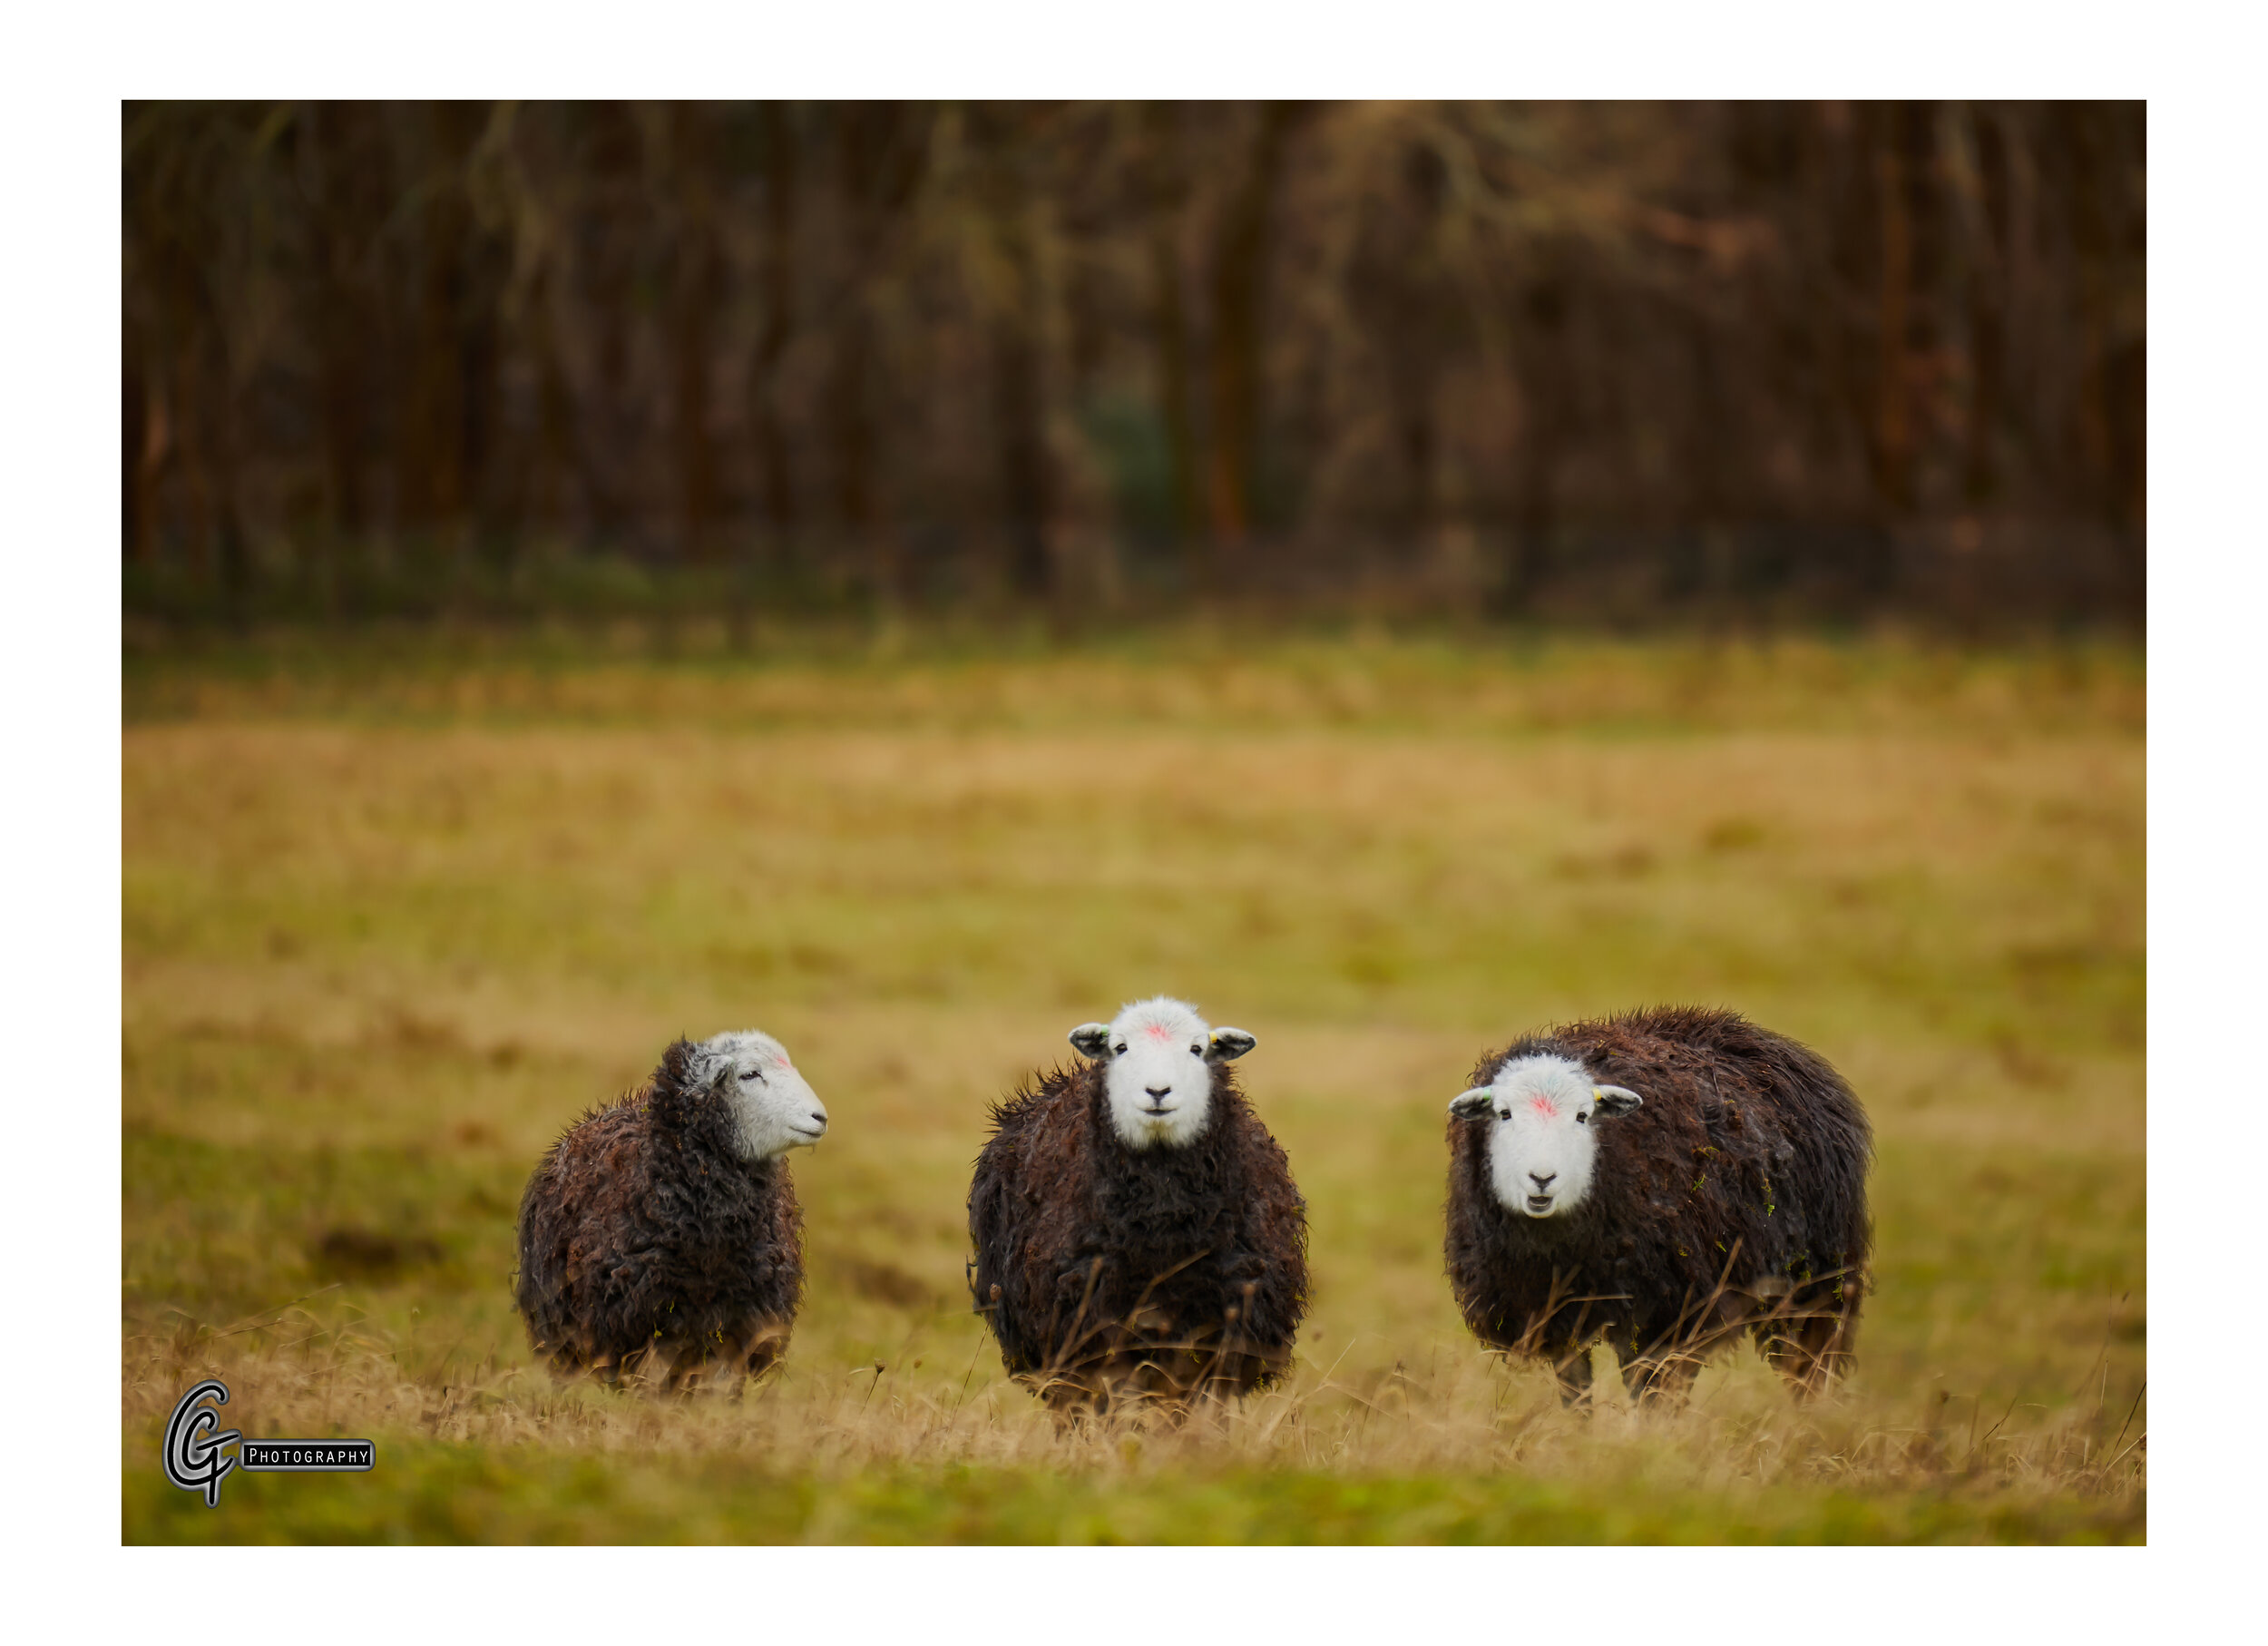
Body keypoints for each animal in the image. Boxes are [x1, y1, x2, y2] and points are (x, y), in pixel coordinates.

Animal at [967, 996, 1310, 1417]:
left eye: (1197, 1049)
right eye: (1120, 1047)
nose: (1158, 1091)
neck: (1163, 1236)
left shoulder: (1221, 1340)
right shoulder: (1092, 1338)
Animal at [1442, 1005, 1871, 1405]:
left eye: (1583, 1116)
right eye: (1504, 1113)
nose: (1542, 1178)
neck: (1559, 1252)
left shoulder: (1663, 1315)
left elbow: (1652, 1397)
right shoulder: (1549, 1317)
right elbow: (1576, 1396)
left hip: (1815, 1283)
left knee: (1809, 1368)